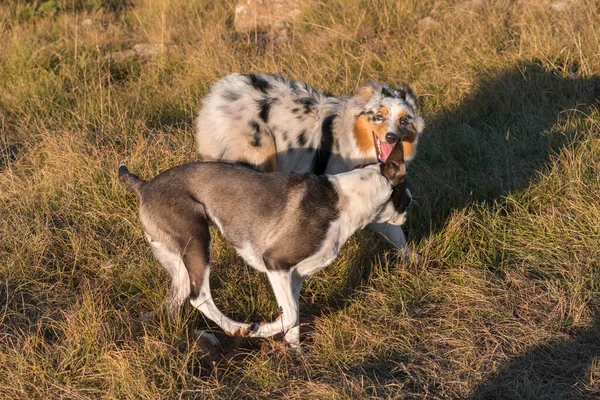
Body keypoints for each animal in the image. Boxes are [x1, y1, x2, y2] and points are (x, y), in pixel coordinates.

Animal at [120, 142, 412, 352]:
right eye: (405, 195)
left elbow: (294, 315)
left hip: (178, 261)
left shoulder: (295, 275)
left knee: (175, 300)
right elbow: (291, 315)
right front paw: (261, 331)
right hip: (197, 243)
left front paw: (295, 355)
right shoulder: (276, 262)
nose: (409, 204)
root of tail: (144, 185)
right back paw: (237, 328)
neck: (347, 201)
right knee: (199, 296)